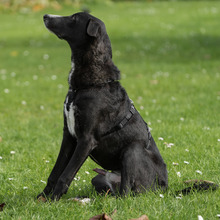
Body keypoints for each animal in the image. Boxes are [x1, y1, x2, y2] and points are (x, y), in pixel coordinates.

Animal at [38, 12, 168, 201]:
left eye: (74, 19)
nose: (45, 15)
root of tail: (165, 187)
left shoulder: (86, 139)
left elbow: (65, 175)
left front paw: (53, 200)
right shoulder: (68, 135)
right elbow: (55, 172)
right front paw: (42, 198)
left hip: (132, 150)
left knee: (125, 193)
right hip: (99, 177)